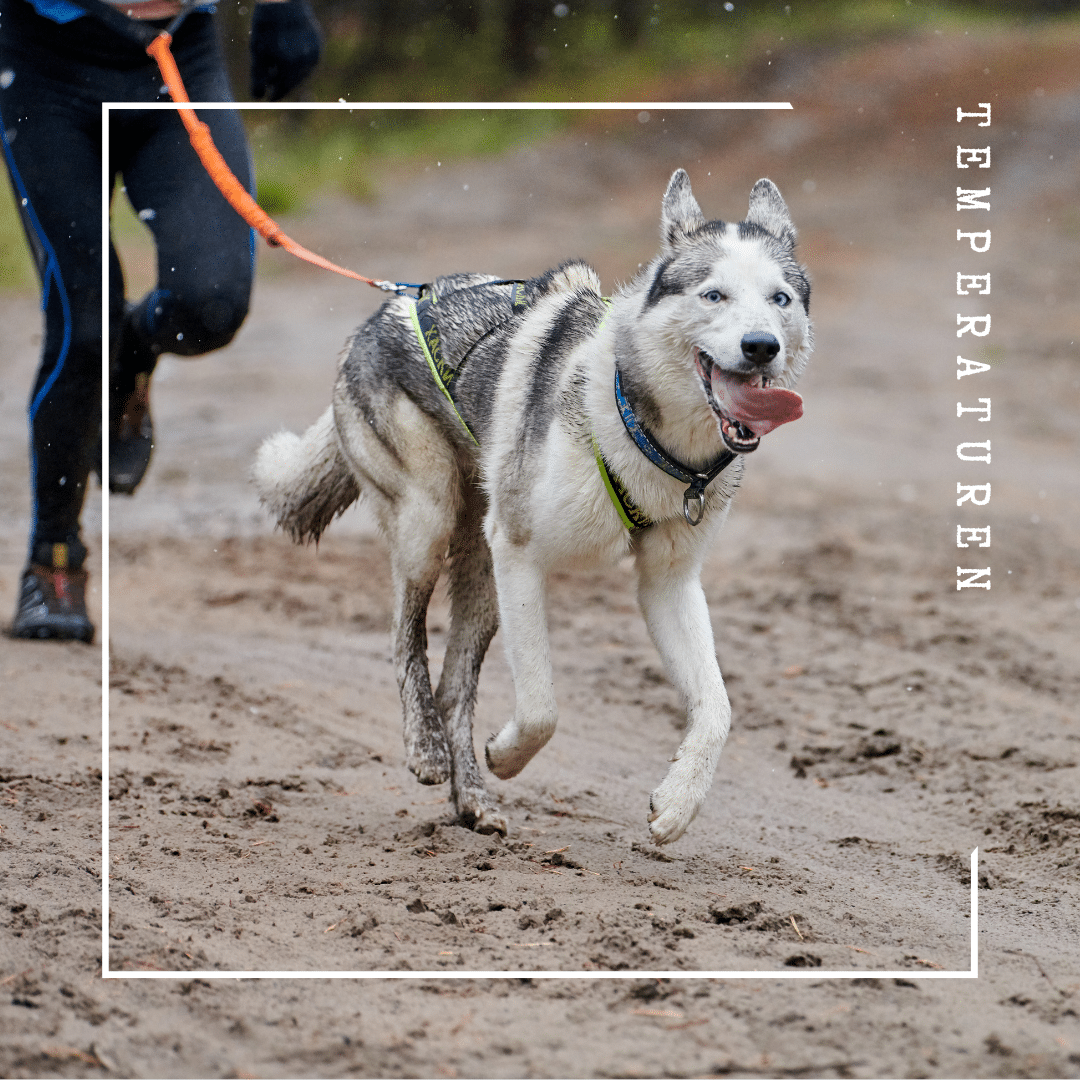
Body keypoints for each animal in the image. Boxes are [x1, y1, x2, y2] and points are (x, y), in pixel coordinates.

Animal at [252, 168, 812, 842]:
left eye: (780, 299)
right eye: (714, 295)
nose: (761, 346)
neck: (642, 426)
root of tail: (387, 309)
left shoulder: (668, 583)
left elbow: (719, 707)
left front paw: (679, 803)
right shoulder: (520, 555)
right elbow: (542, 706)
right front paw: (507, 755)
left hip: (481, 571)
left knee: (454, 686)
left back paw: (472, 800)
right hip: (429, 524)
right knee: (403, 635)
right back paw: (426, 749)